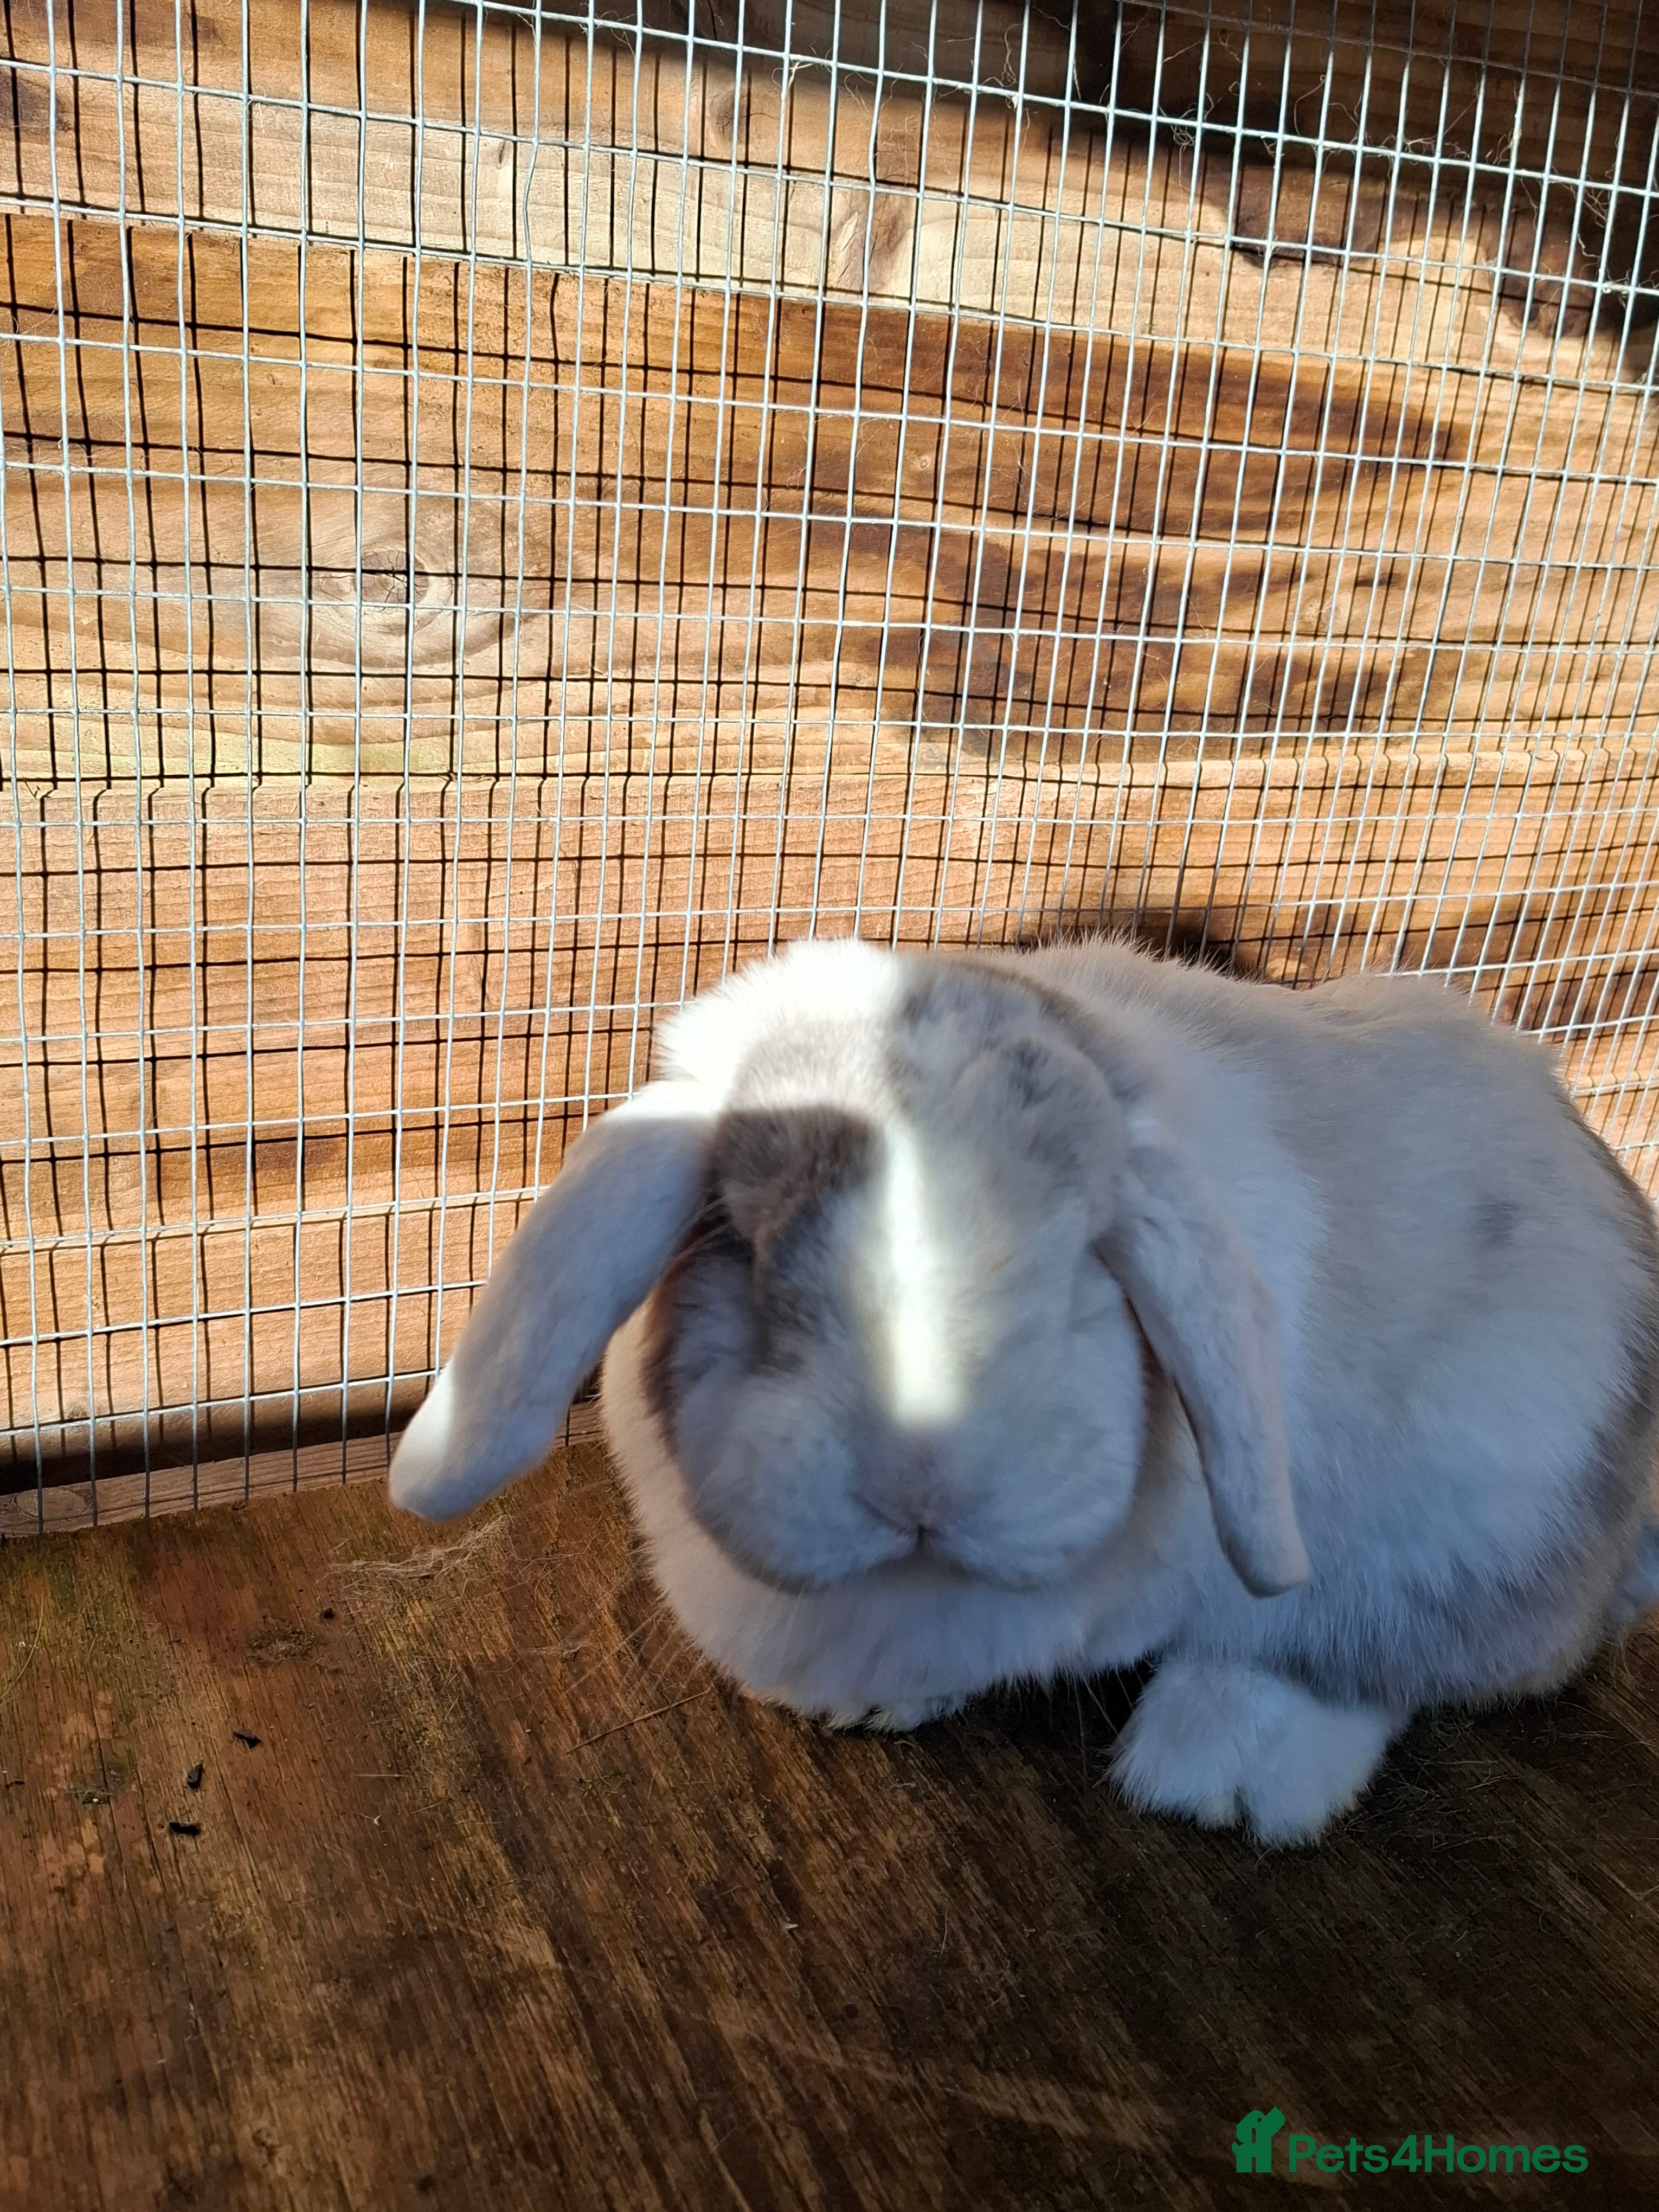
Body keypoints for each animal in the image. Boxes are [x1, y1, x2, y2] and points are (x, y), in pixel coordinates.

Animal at [388, 934, 1659, 1845]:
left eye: (1084, 1258)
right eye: (748, 1247)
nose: (918, 1478)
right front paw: (868, 1706)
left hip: (1476, 1484)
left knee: (1386, 1649)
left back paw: (1225, 1774)